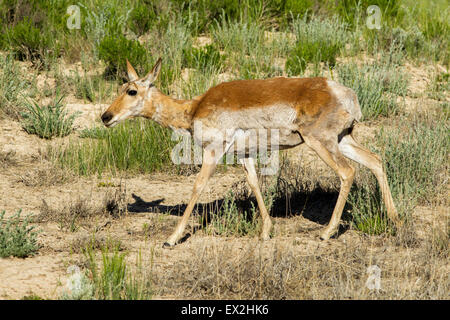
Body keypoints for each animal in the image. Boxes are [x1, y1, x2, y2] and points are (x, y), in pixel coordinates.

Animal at [101, 58, 400, 248]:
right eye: (120, 88)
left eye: (132, 90)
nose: (105, 116)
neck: (195, 107)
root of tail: (343, 92)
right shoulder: (244, 155)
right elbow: (254, 183)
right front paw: (266, 231)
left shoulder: (213, 152)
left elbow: (198, 186)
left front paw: (171, 238)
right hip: (343, 139)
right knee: (375, 161)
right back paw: (394, 220)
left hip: (320, 142)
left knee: (347, 171)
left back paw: (327, 232)